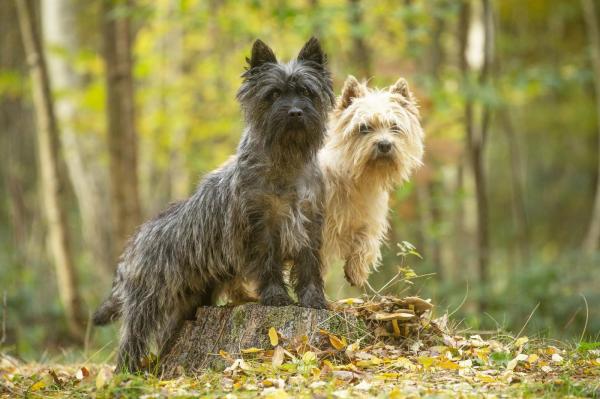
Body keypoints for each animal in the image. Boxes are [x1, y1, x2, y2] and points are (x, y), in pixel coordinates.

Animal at [94, 36, 338, 372]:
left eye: (306, 91)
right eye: (274, 94)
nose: (295, 112)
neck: (287, 161)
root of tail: (135, 241)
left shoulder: (310, 224)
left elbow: (309, 265)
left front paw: (314, 300)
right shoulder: (261, 226)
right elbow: (269, 264)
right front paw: (276, 297)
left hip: (188, 301)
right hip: (148, 301)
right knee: (132, 338)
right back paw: (127, 372)